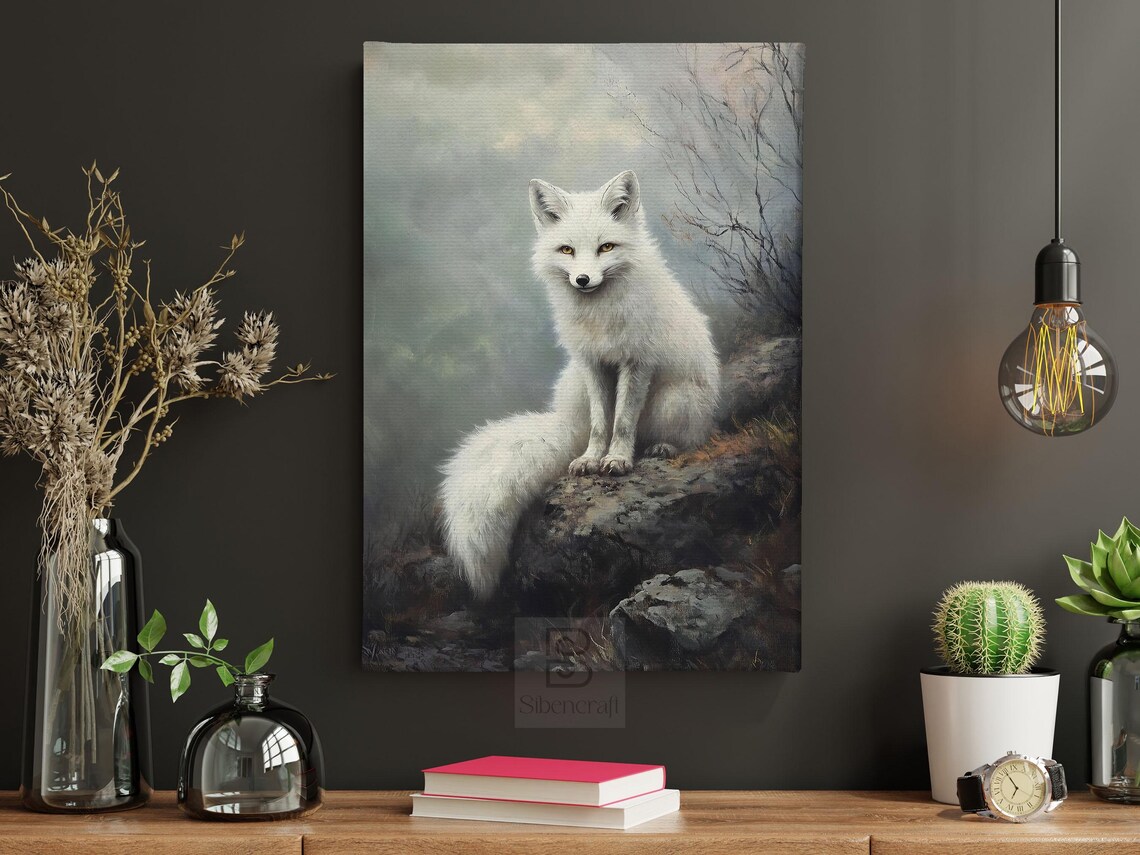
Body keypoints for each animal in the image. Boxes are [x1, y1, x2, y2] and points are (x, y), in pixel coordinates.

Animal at [440, 170, 720, 598]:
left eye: (606, 247)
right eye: (567, 250)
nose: (583, 279)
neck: (599, 315)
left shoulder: (636, 363)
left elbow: (623, 422)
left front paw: (617, 460)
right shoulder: (593, 364)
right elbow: (601, 422)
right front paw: (591, 459)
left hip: (678, 399)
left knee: (687, 435)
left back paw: (662, 447)